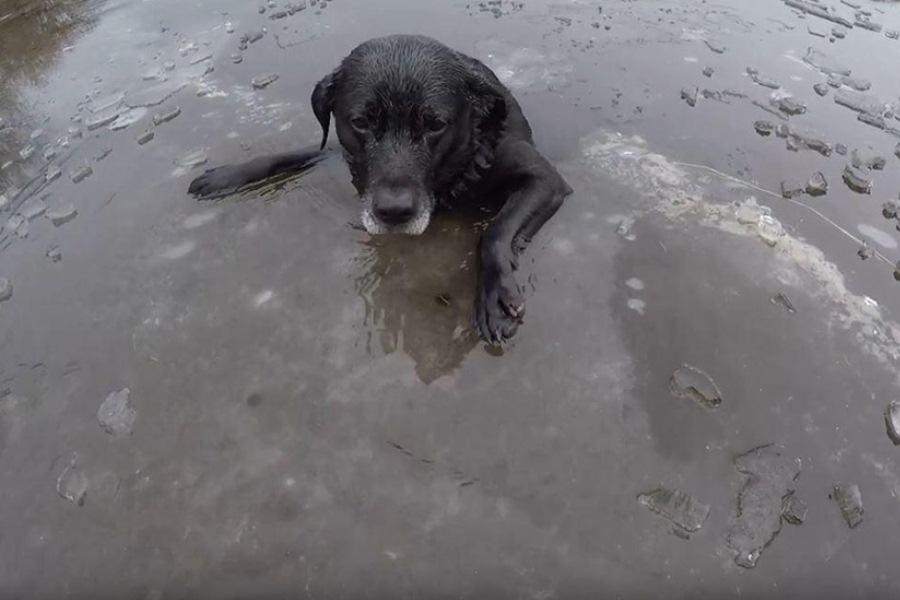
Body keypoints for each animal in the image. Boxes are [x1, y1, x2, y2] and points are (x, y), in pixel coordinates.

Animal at [189, 34, 572, 343]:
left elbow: (495, 233)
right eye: (360, 122)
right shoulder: (340, 148)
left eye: (435, 124)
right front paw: (227, 175)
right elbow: (295, 152)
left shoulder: (545, 179)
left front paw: (494, 298)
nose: (393, 212)